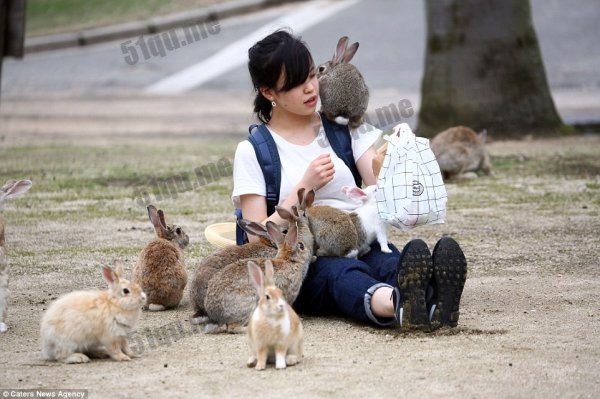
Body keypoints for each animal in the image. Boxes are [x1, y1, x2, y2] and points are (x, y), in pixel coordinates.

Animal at [202, 196, 314, 332]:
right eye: (301, 246)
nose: (312, 253)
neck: (287, 260)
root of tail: (215, 315)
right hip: (249, 305)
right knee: (233, 327)